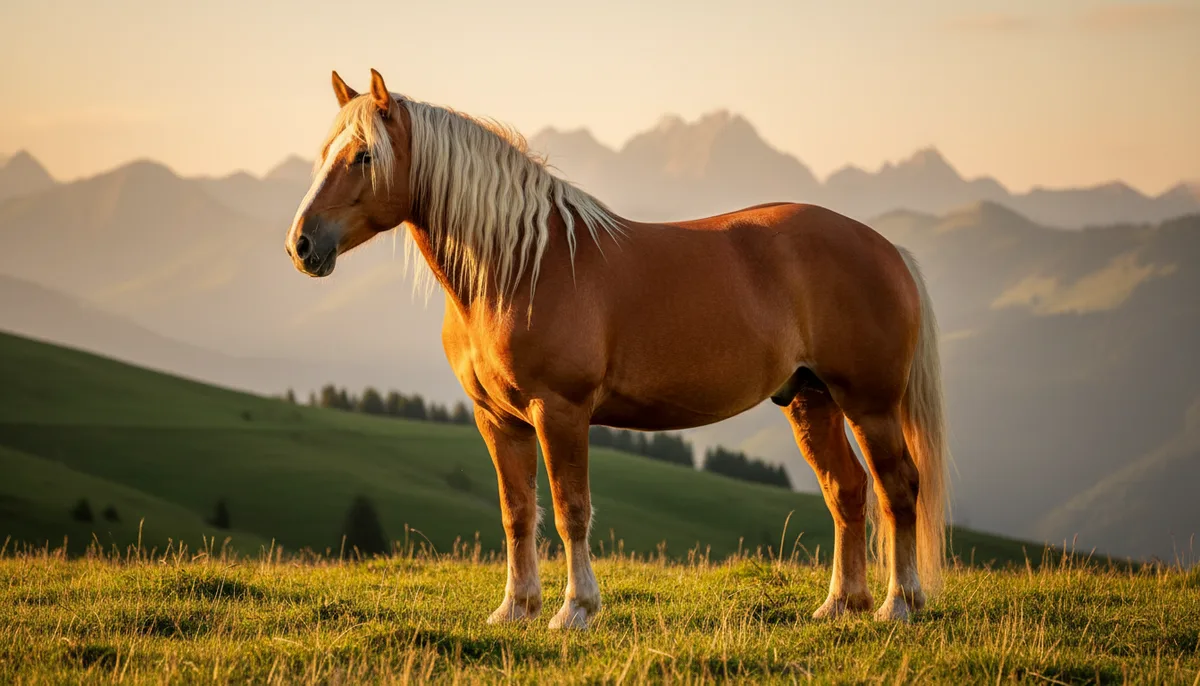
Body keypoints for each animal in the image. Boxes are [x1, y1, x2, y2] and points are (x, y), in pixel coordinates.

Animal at [285, 69, 951, 629]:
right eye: (324, 154)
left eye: (364, 155)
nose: (301, 244)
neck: (521, 267)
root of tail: (886, 248)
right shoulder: (497, 418)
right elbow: (517, 512)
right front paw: (515, 609)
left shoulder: (561, 411)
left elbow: (569, 509)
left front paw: (574, 610)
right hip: (813, 400)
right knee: (848, 490)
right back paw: (841, 604)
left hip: (869, 404)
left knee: (898, 489)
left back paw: (898, 605)